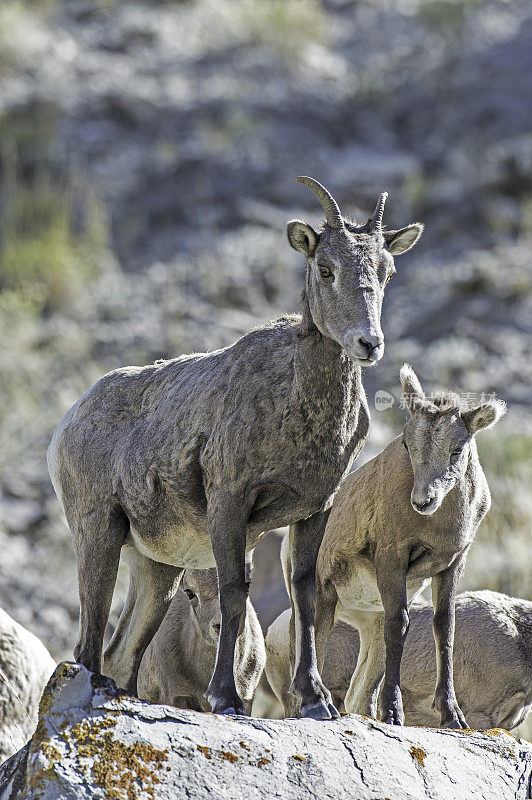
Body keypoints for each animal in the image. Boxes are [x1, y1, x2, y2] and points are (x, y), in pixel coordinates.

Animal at [310, 366, 504, 728]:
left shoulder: (452, 564)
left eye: (456, 450)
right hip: (323, 596)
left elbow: (445, 628)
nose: (422, 501)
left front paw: (453, 716)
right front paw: (392, 712)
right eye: (407, 444)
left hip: (365, 619)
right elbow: (399, 625)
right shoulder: (392, 557)